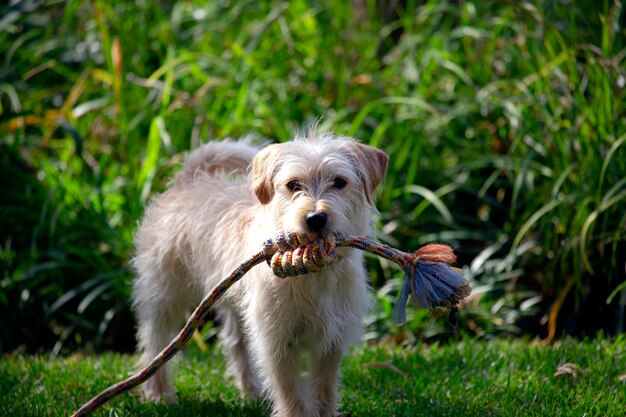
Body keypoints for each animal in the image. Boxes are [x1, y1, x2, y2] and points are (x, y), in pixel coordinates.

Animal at [130, 131, 386, 416]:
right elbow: (291, 395)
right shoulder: (277, 343)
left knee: (236, 342)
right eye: (293, 185)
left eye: (340, 182)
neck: (312, 276)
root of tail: (188, 180)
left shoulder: (331, 344)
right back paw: (158, 393)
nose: (315, 218)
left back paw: (251, 390)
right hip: (166, 294)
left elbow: (324, 390)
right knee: (154, 339)